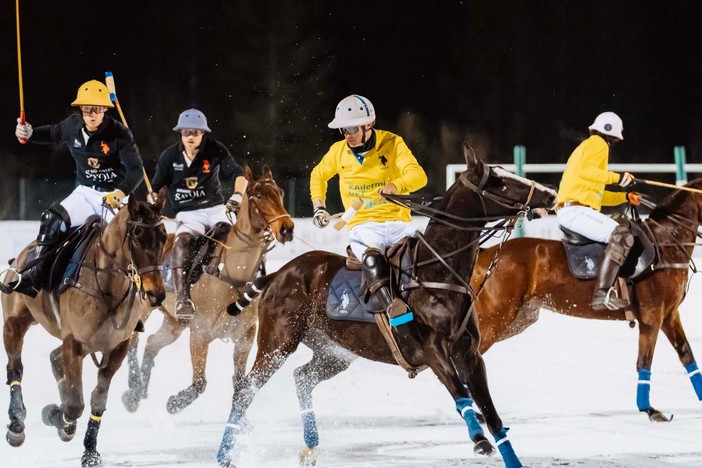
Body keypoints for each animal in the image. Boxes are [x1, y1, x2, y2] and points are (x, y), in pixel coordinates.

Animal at [2, 192, 168, 466]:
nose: (157, 294)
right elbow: (75, 405)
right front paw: (59, 419)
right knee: (15, 368)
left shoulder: (118, 347)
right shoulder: (74, 343)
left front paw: (89, 451)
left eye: (164, 236)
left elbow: (97, 400)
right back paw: (16, 424)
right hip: (14, 322)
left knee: (54, 357)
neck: (108, 287)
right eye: (136, 237)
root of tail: (21, 255)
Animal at [124, 165, 294, 414]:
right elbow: (199, 383)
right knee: (133, 340)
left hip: (175, 321)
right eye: (259, 195)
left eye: (280, 192)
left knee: (153, 342)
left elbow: (240, 383)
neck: (233, 273)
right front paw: (174, 403)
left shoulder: (245, 335)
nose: (287, 229)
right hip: (145, 305)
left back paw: (141, 390)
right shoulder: (199, 333)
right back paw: (133, 392)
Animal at [214, 142, 560, 468]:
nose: (551, 193)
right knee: (245, 389)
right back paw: (224, 455)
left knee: (302, 377)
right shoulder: (432, 349)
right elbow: (461, 395)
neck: (437, 269)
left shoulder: (470, 353)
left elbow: (493, 416)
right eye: (500, 183)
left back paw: (309, 446)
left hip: (334, 352)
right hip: (278, 342)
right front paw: (479, 441)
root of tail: (278, 274)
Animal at [470, 178, 702, 420]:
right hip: (496, 316)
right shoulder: (651, 315)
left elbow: (687, 355)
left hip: (518, 318)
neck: (666, 244)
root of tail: (485, 253)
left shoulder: (669, 314)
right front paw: (649, 410)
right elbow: (644, 360)